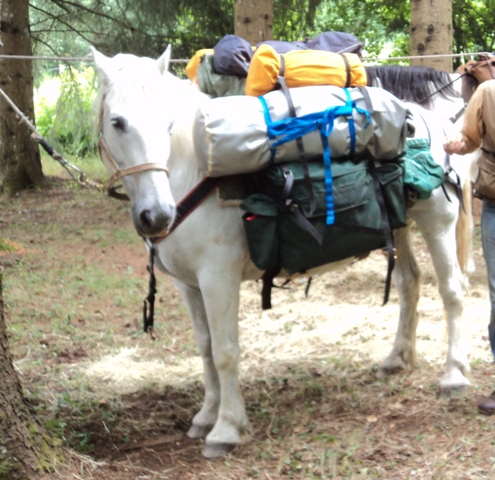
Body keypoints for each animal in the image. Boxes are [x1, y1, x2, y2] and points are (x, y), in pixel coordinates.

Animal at [92, 47, 472, 460]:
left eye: (167, 123)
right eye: (117, 122)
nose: (157, 216)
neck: (192, 170)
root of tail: (430, 121)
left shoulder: (217, 278)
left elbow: (225, 351)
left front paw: (227, 428)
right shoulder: (188, 285)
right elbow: (205, 348)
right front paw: (206, 416)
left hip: (437, 222)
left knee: (452, 293)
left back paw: (454, 374)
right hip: (399, 225)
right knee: (409, 283)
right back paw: (397, 358)